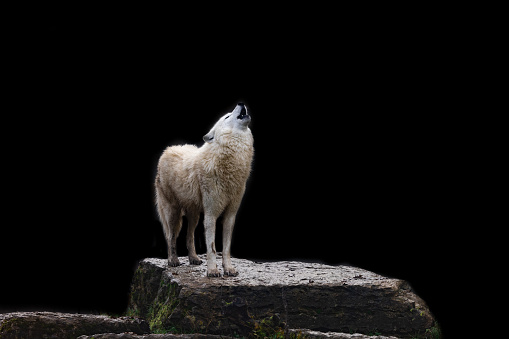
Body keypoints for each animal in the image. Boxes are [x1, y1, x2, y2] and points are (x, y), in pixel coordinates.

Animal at [153, 102, 252, 278]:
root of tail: (168, 149)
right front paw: (212, 270)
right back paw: (173, 260)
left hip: (194, 215)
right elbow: (211, 247)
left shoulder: (230, 215)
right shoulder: (211, 214)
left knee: (189, 236)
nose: (240, 103)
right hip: (173, 213)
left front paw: (228, 269)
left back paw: (193, 258)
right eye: (227, 116)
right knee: (171, 236)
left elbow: (226, 248)